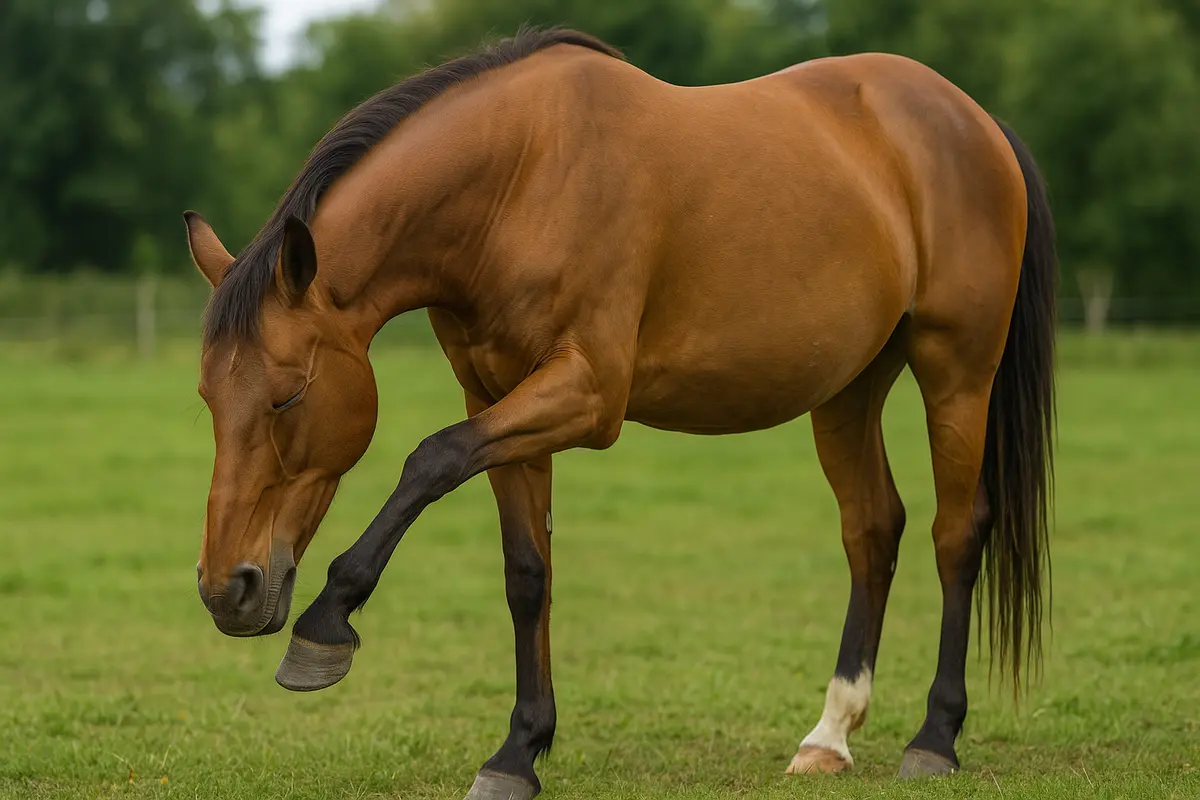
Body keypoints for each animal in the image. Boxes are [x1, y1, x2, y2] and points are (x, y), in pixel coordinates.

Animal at [186, 28, 1055, 799]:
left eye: (287, 395)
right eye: (207, 399)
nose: (229, 590)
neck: (517, 183)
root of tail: (977, 122)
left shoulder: (586, 395)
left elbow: (428, 459)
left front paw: (325, 623)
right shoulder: (495, 399)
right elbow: (527, 572)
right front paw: (519, 752)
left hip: (956, 372)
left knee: (955, 533)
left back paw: (935, 738)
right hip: (849, 389)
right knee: (873, 530)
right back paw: (829, 736)